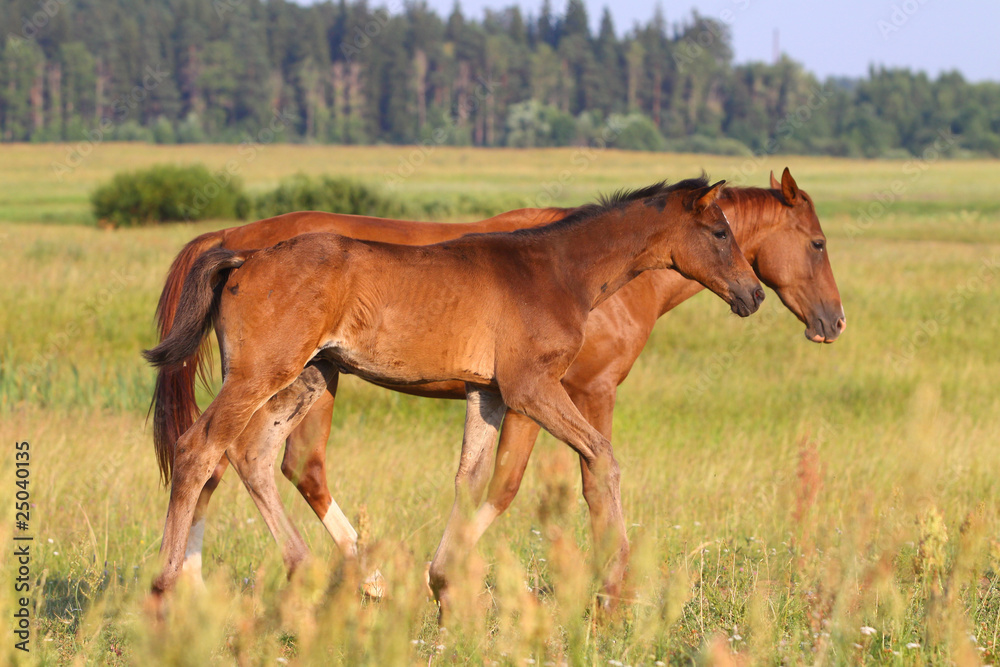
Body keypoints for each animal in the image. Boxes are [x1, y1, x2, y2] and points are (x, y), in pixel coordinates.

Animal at [151, 168, 845, 606]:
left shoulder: (486, 394)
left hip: (309, 377)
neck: (557, 269)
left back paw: (306, 572)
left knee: (251, 456)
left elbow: (474, 479)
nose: (754, 296)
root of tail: (240, 252)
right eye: (816, 242)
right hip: (262, 374)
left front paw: (442, 580)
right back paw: (169, 588)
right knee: (203, 451)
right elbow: (594, 463)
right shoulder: (537, 389)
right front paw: (615, 585)